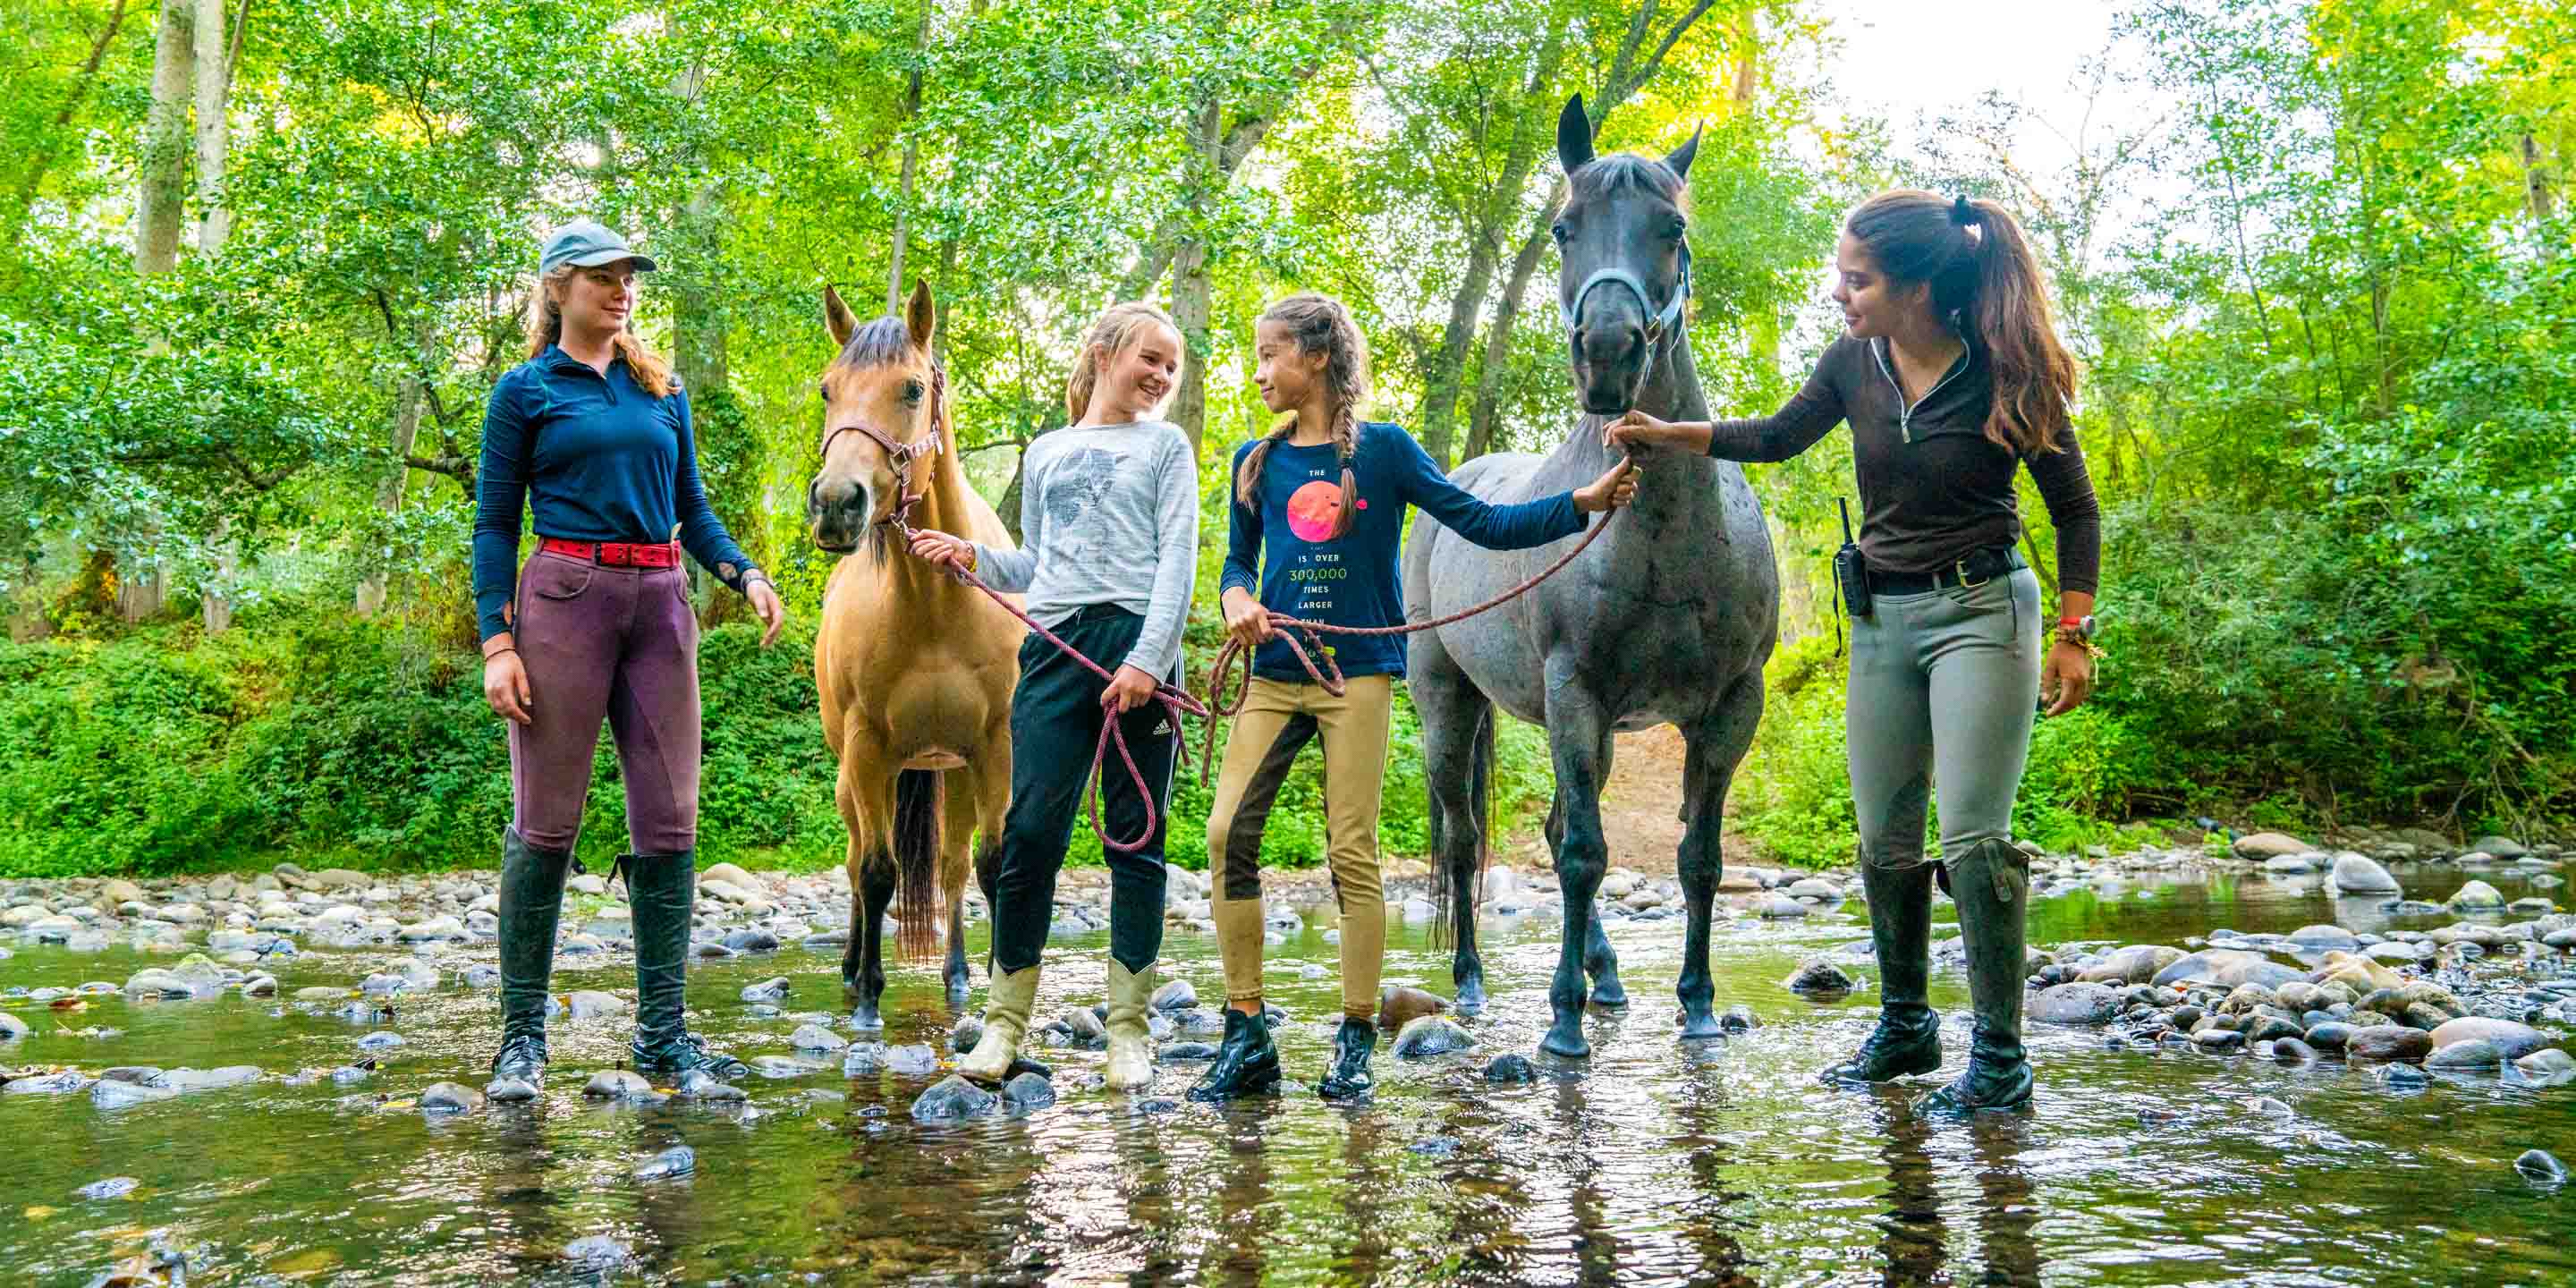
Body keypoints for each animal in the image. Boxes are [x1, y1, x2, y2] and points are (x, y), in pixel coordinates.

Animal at [809, 279, 1020, 1025]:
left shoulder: (992, 747)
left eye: (910, 389)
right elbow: (876, 873)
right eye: (828, 389)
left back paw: (955, 973)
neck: (933, 607)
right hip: (856, 779)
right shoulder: (869, 749)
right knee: (854, 862)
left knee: (952, 868)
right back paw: (850, 968)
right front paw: (870, 998)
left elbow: (989, 866)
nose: (835, 503)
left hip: (949, 771)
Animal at [1401, 97, 1782, 1055]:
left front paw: (1697, 1006)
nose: (1608, 353)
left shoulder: (1728, 710)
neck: (1664, 536)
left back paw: (1607, 977)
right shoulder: (1575, 693)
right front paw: (1562, 1022)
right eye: (1564, 228)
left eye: (1673, 229)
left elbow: (1699, 859)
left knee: (1548, 825)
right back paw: (1473, 982)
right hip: (1448, 707)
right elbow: (1582, 857)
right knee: (1466, 841)